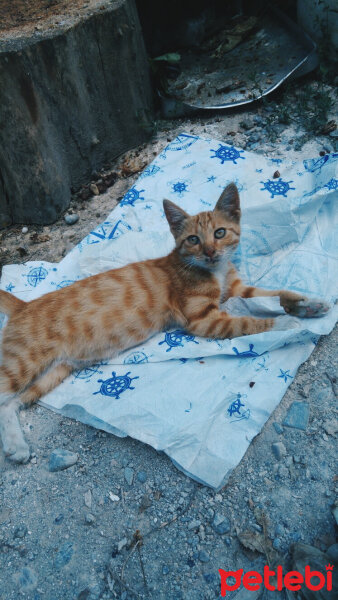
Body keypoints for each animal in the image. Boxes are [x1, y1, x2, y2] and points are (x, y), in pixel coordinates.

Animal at [0, 184, 328, 464]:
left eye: (220, 232)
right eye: (193, 239)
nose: (211, 252)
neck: (215, 271)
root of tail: (23, 305)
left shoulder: (238, 290)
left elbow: (274, 293)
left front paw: (309, 304)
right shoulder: (204, 320)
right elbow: (251, 321)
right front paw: (288, 322)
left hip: (55, 371)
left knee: (10, 404)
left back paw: (17, 446)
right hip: (22, 364)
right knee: (4, 396)